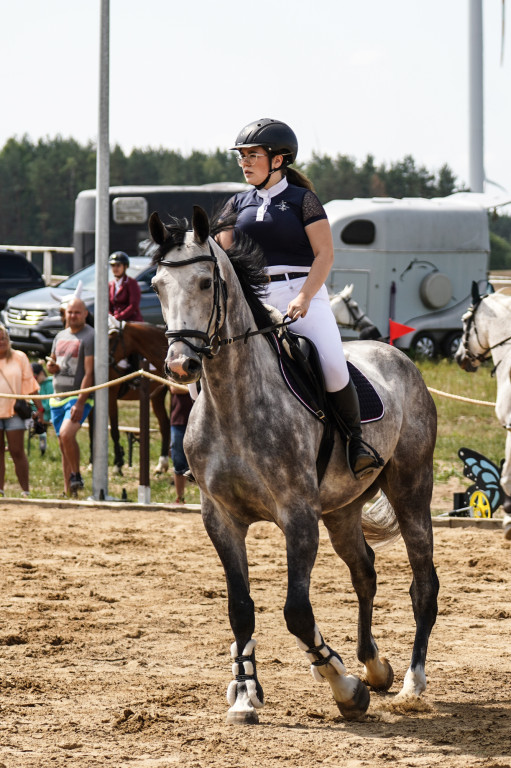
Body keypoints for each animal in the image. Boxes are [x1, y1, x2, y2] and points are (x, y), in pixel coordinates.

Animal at [149, 207, 440, 724]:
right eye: (158, 284)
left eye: (204, 282)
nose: (181, 365)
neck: (233, 401)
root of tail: (396, 353)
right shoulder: (220, 518)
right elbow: (240, 607)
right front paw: (245, 693)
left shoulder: (298, 516)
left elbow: (296, 611)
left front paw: (343, 686)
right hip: (342, 510)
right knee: (364, 572)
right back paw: (374, 666)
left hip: (411, 487)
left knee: (423, 582)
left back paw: (411, 682)